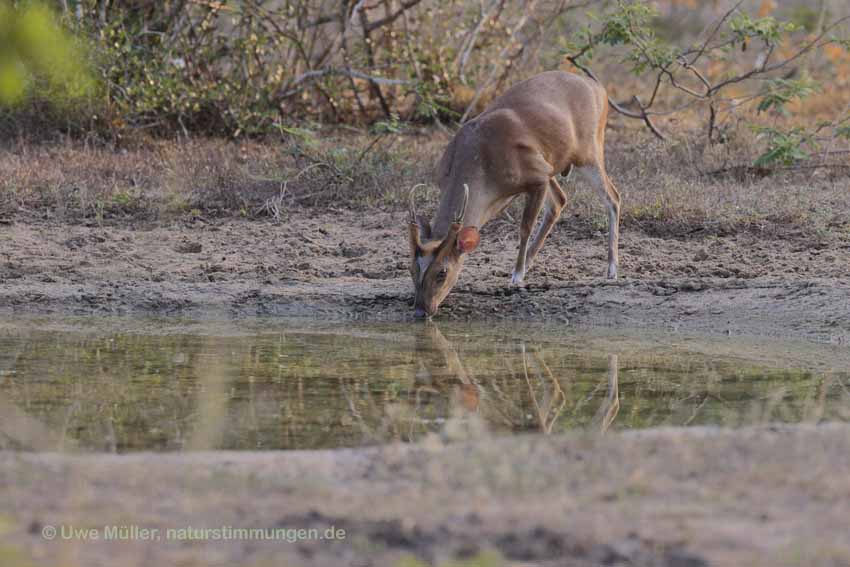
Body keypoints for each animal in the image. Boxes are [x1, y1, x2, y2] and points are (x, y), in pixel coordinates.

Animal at [408, 70, 620, 320]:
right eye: (411, 269)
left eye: (442, 272)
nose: (421, 310)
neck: (481, 166)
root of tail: (599, 89)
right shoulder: (540, 172)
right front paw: (521, 270)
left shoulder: (537, 176)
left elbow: (524, 227)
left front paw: (517, 275)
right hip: (554, 164)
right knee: (560, 201)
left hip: (589, 151)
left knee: (613, 197)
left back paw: (612, 268)